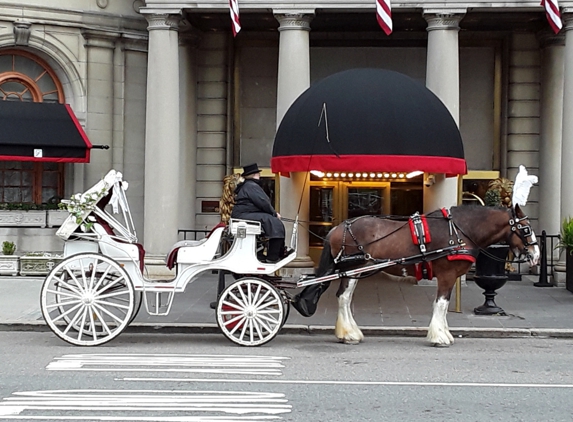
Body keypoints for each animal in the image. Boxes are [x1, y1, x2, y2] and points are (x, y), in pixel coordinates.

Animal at [292, 204, 540, 346]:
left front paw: (444, 333)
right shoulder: (447, 274)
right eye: (526, 228)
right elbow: (440, 304)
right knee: (343, 298)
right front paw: (439, 336)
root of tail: (338, 227)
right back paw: (349, 334)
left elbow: (443, 305)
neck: (458, 231)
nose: (536, 255)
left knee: (344, 297)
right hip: (353, 269)